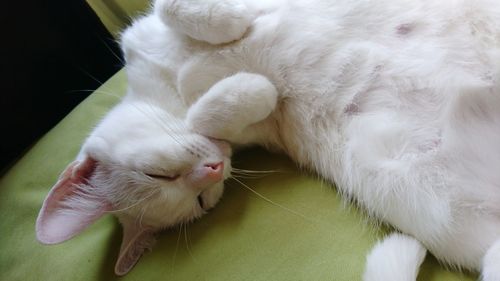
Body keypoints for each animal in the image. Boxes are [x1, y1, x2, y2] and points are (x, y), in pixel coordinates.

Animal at [36, 0, 500, 278]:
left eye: (157, 174)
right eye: (202, 202)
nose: (213, 169)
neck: (170, 84)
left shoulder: (148, 31)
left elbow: (175, 9)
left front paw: (229, 27)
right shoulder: (253, 131)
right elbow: (228, 105)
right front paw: (246, 87)